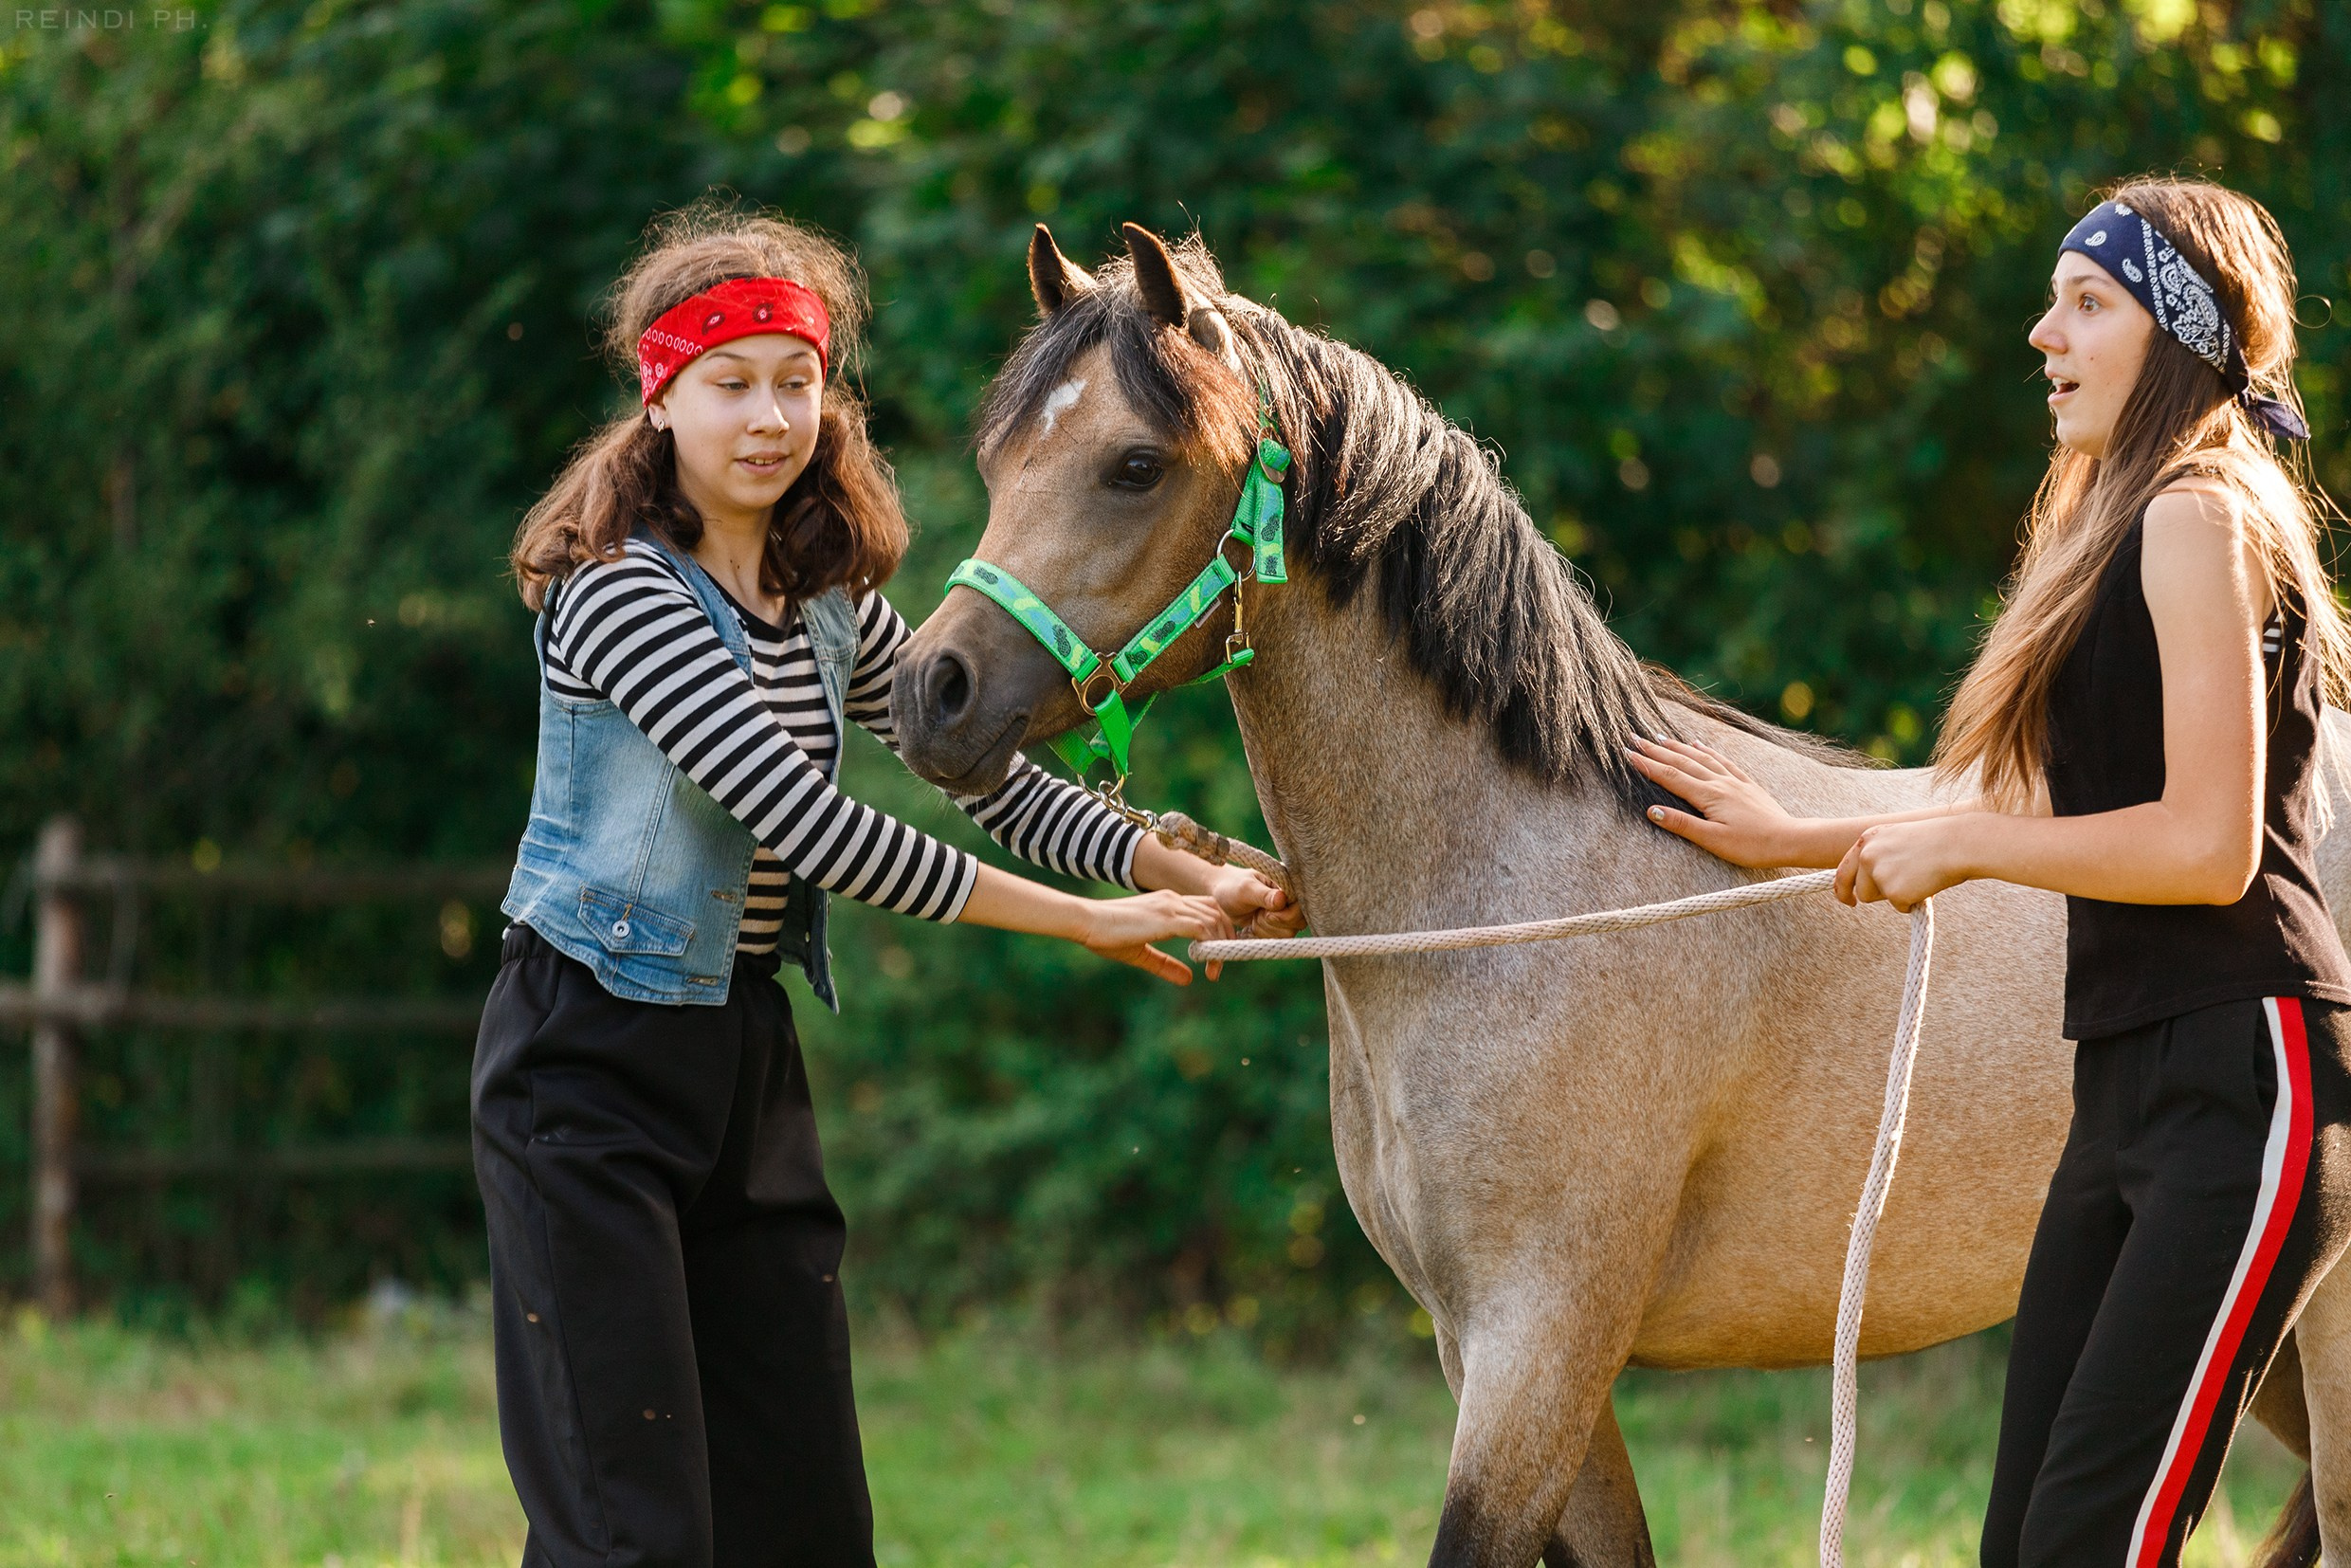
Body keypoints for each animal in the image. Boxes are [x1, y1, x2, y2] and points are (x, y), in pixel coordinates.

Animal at [890, 220, 2351, 1567]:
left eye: (1133, 464)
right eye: (999, 460)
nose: (928, 692)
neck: (1509, 897)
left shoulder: (1541, 1340)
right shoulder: (1500, 1351)